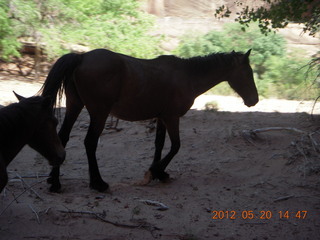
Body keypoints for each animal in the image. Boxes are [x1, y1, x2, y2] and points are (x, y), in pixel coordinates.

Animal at [40, 47, 260, 192]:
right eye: (247, 73)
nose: (254, 100)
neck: (187, 76)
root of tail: (82, 57)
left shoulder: (161, 118)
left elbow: (159, 145)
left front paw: (158, 173)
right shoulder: (172, 117)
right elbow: (176, 146)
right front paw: (156, 171)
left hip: (75, 106)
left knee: (63, 137)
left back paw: (55, 182)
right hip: (99, 113)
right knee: (90, 143)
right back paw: (98, 183)